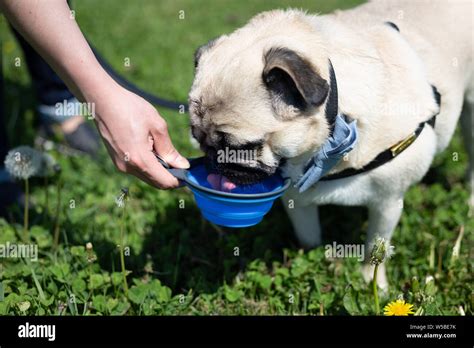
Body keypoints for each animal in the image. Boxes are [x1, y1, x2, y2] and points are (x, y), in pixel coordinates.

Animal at [187, 0, 472, 288]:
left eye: (242, 148)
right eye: (197, 138)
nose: (212, 160)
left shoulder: (388, 202)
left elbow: (375, 250)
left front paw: (372, 283)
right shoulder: (297, 201)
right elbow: (309, 238)